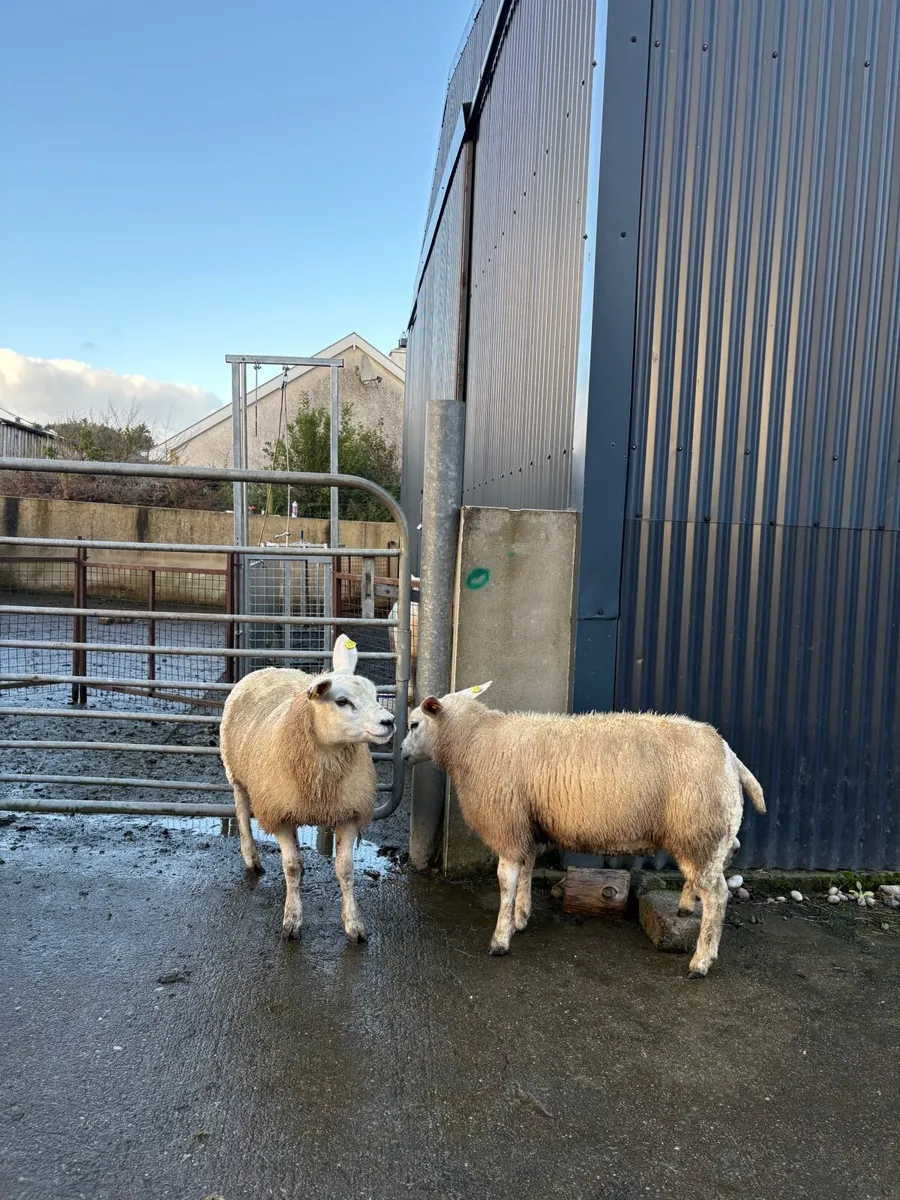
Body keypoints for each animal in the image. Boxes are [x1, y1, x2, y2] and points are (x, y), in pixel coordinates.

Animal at [219, 634, 396, 942]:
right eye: (342, 701)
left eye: (375, 696)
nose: (389, 722)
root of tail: (270, 668)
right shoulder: (278, 814)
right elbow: (291, 867)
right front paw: (292, 920)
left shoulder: (349, 813)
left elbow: (345, 870)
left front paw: (354, 923)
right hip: (237, 773)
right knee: (241, 811)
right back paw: (251, 858)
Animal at [401, 683, 766, 978]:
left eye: (414, 724)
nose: (402, 754)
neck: (473, 741)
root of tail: (729, 755)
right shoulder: (528, 823)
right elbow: (527, 870)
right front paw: (521, 916)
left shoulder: (508, 825)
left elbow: (507, 879)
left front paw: (501, 938)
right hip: (707, 829)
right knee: (727, 855)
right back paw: (687, 905)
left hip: (698, 829)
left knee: (717, 894)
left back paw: (701, 961)